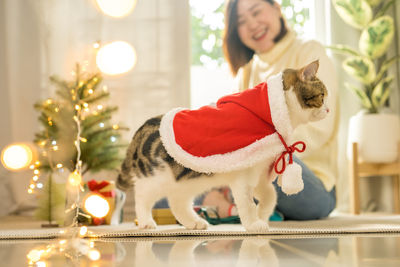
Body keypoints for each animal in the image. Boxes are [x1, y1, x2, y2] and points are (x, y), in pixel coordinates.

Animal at [117, 60, 330, 232]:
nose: (328, 109)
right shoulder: (244, 175)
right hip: (155, 178)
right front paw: (254, 224)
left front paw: (262, 215)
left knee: (178, 202)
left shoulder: (261, 171)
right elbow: (247, 203)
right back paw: (146, 222)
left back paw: (194, 222)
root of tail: (141, 129)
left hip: (187, 181)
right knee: (142, 196)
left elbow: (270, 195)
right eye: (322, 95)